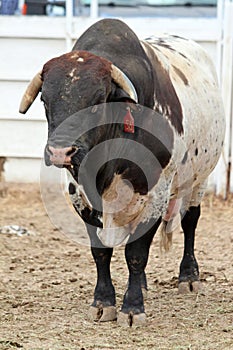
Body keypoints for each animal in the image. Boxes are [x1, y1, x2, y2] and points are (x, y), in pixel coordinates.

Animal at [19, 18, 226, 326]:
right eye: (45, 100)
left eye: (98, 101)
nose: (59, 152)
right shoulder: (79, 194)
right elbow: (100, 251)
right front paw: (103, 302)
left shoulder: (156, 193)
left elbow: (136, 253)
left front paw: (132, 307)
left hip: (199, 178)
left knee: (190, 220)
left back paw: (188, 276)